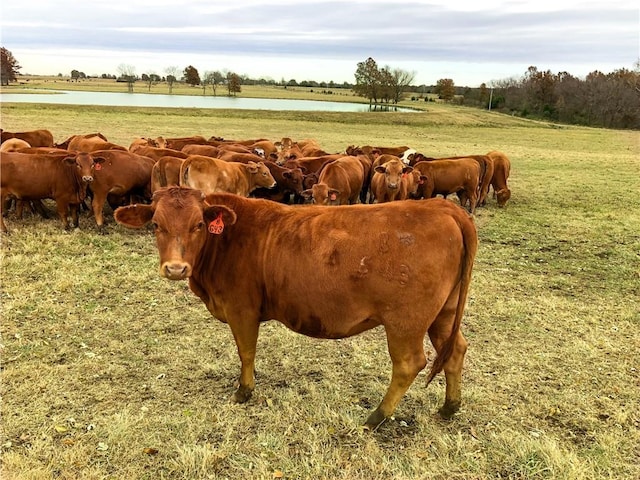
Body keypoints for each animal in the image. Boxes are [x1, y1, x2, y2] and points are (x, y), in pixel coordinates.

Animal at [114, 186, 476, 430]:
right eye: (156, 224)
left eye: (198, 225)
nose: (176, 268)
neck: (226, 239)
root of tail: (444, 208)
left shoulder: (241, 309)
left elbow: (246, 351)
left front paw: (244, 391)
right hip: (443, 314)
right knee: (455, 350)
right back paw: (449, 407)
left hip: (405, 322)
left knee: (409, 364)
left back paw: (376, 416)